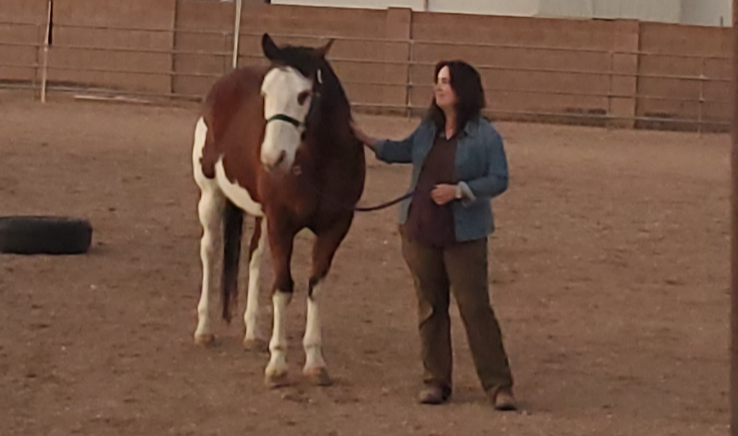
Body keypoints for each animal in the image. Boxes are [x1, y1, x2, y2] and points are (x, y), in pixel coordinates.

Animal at [190, 34, 362, 386]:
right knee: (209, 251)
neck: (318, 163)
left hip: (260, 215)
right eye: (266, 93)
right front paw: (278, 364)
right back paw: (204, 329)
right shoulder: (282, 224)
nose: (272, 158)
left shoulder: (334, 228)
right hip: (210, 195)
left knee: (254, 255)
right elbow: (283, 288)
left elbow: (315, 287)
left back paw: (252, 334)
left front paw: (315, 362)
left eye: (304, 94)